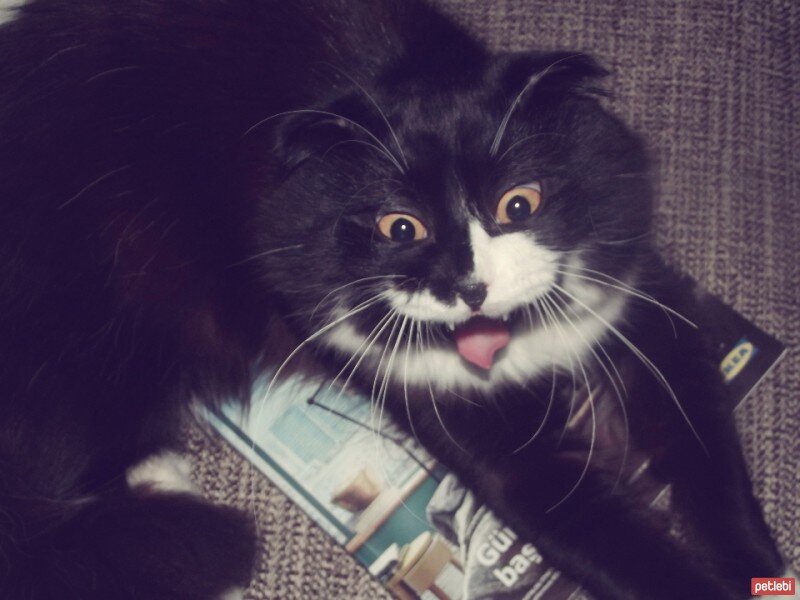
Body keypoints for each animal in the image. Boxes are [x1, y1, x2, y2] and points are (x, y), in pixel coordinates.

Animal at [0, 1, 792, 600]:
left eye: (519, 204)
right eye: (399, 228)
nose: (468, 287)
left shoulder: (646, 307)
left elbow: (710, 464)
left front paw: (759, 569)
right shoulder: (502, 452)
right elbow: (625, 549)